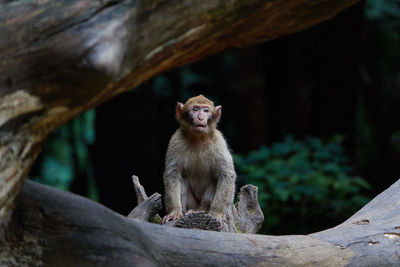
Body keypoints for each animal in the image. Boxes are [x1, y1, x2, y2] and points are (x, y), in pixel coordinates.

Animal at [162, 94, 236, 226]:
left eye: (206, 110)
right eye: (195, 109)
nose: (201, 117)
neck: (198, 138)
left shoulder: (219, 141)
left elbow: (226, 174)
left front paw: (215, 213)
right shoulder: (175, 140)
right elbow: (172, 174)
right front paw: (174, 212)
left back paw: (203, 209)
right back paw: (187, 211)